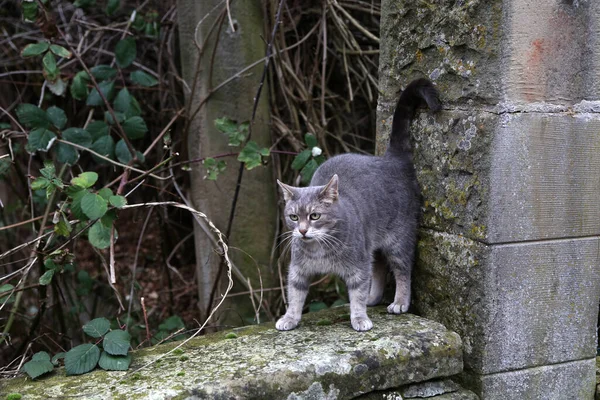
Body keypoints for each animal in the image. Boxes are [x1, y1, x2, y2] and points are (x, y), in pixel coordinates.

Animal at [274, 78, 438, 332]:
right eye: (293, 217)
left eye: (314, 216)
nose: (301, 231)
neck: (320, 248)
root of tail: (391, 160)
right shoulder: (298, 270)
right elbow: (295, 295)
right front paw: (290, 318)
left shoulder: (358, 266)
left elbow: (358, 293)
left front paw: (359, 317)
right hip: (374, 243)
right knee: (379, 266)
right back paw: (375, 297)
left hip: (398, 240)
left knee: (402, 269)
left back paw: (400, 302)